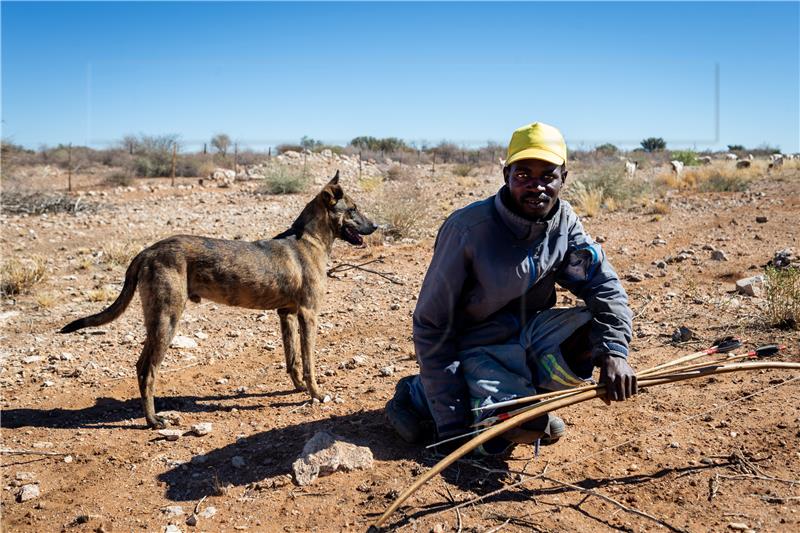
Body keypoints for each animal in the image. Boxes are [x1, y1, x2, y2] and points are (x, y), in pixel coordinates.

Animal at [59, 171, 378, 428]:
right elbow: (310, 362)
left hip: (157, 321)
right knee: (147, 370)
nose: (375, 226)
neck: (309, 239)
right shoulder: (308, 314)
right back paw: (152, 420)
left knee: (140, 366)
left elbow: (292, 360)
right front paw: (316, 394)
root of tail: (146, 251)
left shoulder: (286, 314)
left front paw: (298, 387)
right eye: (353, 209)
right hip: (167, 320)